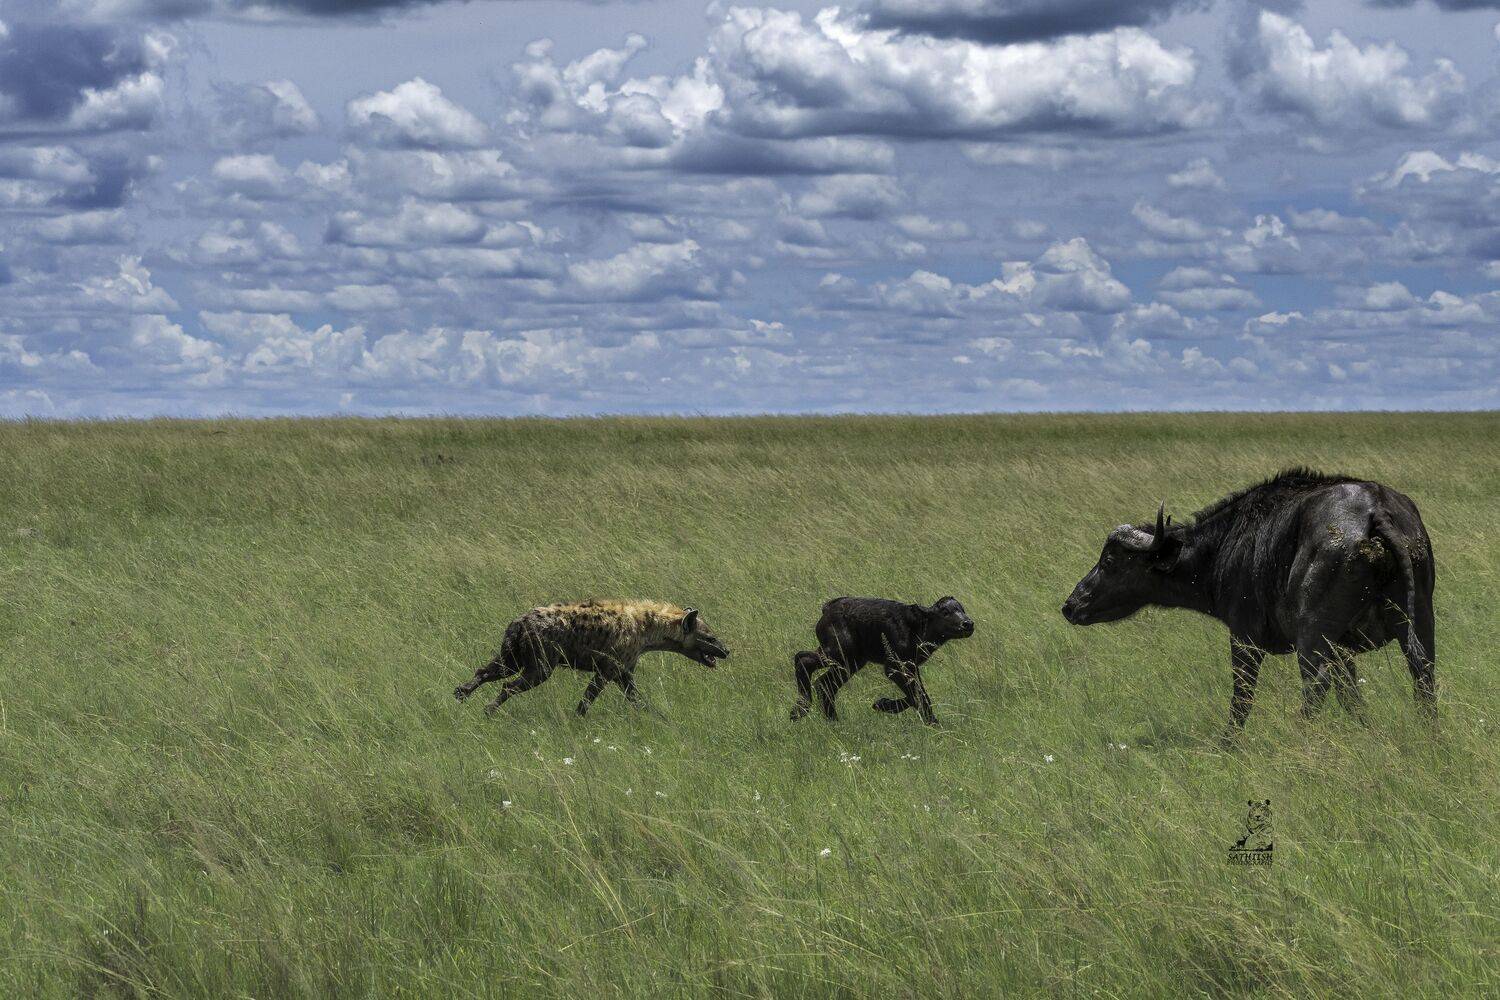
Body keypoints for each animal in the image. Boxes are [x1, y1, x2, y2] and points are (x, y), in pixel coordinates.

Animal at [453, 600, 730, 716]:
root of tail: (519, 622)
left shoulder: (624, 670)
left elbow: (636, 697)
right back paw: (489, 710)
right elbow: (588, 697)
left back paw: (461, 693)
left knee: (486, 671)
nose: (727, 651)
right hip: (541, 663)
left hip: (514, 656)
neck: (646, 631)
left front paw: (656, 718)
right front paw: (578, 719)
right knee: (510, 684)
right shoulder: (608, 668)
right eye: (710, 638)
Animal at [789, 596, 975, 726]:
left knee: (823, 681)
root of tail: (826, 608)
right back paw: (800, 710)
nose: (968, 624)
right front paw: (933, 724)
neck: (919, 629)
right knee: (804, 660)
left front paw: (881, 704)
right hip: (840, 653)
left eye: (962, 609)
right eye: (945, 612)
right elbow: (919, 696)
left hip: (850, 661)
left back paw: (830, 720)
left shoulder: (911, 666)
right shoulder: (895, 666)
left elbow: (917, 694)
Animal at [1061, 469, 1436, 740]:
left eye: (1110, 561)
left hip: (1313, 635)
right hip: (1419, 622)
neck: (1227, 545)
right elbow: (1352, 697)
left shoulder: (1244, 638)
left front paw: (1228, 744)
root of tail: (1375, 510)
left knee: (1315, 686)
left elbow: (1242, 696)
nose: (1070, 605)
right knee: (1423, 674)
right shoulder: (1343, 650)